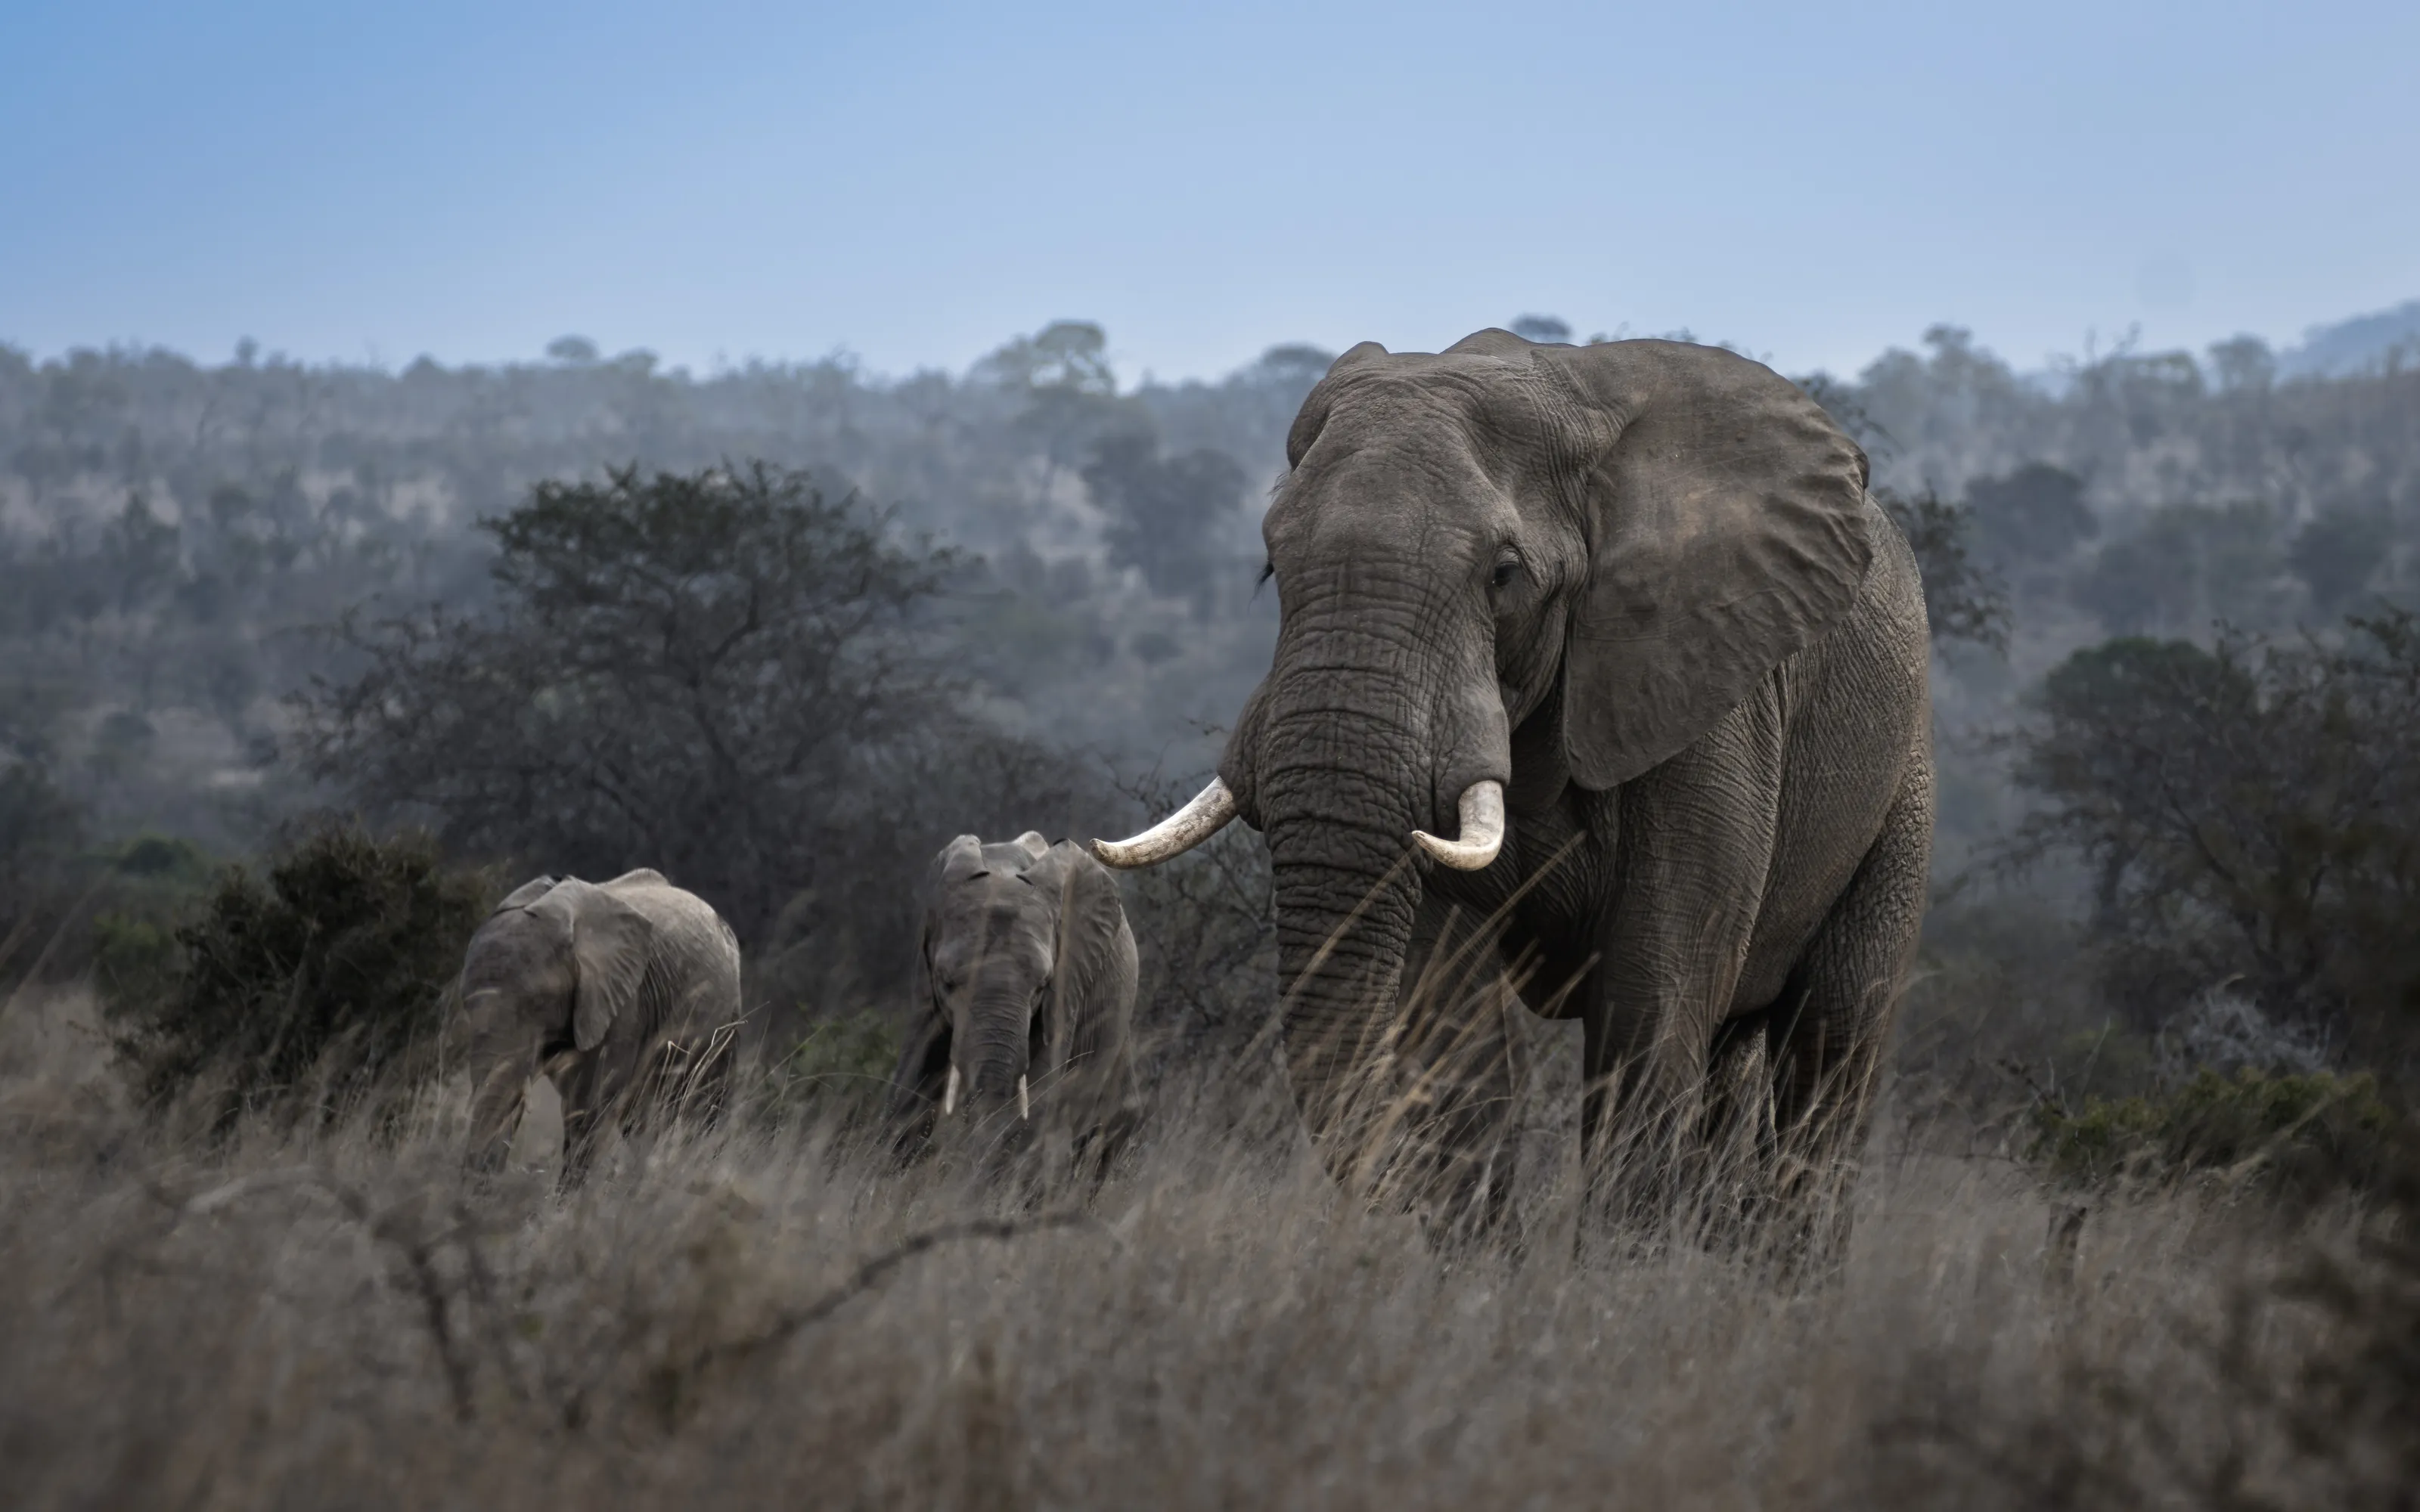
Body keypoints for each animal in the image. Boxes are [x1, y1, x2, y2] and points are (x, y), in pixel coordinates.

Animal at [456, 869, 744, 1173]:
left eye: (538, 1003)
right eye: (467, 1006)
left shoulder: (622, 1004)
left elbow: (587, 1107)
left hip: (723, 1017)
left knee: (706, 1104)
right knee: (640, 1118)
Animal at [1096, 331, 1932, 1244]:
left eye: (1502, 576)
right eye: (1270, 565)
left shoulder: (1706, 698)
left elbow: (1652, 994)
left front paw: (1616, 1274)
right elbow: (1448, 1011)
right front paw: (1480, 1264)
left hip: (1902, 776)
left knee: (1830, 1045)